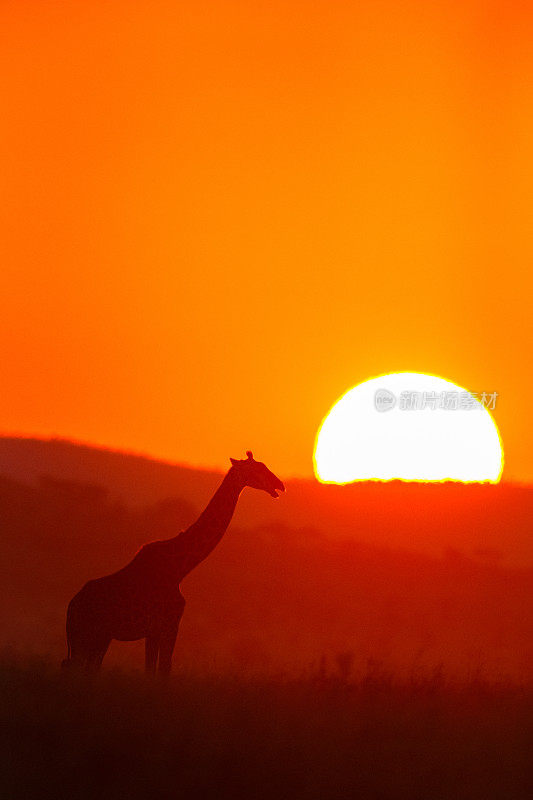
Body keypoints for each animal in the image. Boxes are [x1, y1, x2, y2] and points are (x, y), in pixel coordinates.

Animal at [61, 454, 284, 672]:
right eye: (258, 469)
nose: (280, 485)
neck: (180, 569)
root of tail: (71, 608)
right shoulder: (169, 624)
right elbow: (163, 671)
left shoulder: (153, 631)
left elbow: (151, 671)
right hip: (89, 636)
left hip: (99, 638)